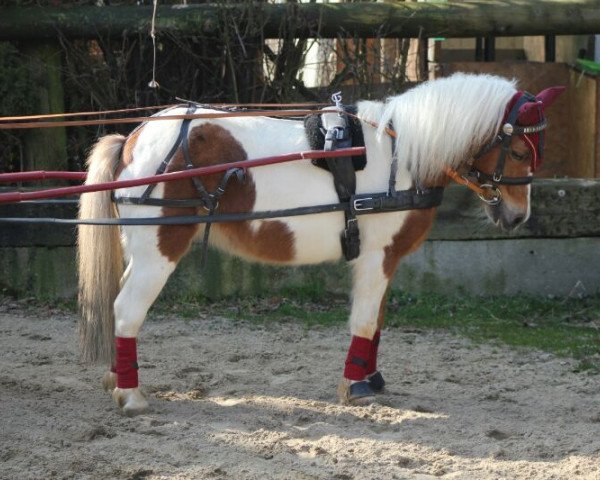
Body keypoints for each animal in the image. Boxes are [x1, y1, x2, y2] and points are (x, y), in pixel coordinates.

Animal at [76, 73, 564, 414]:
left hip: (140, 251)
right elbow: (365, 320)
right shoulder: (376, 257)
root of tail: (135, 138)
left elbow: (377, 321)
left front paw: (372, 379)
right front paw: (356, 387)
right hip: (159, 251)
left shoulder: (385, 261)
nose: (518, 216)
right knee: (127, 310)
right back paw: (131, 396)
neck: (401, 156)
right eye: (520, 151)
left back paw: (117, 379)